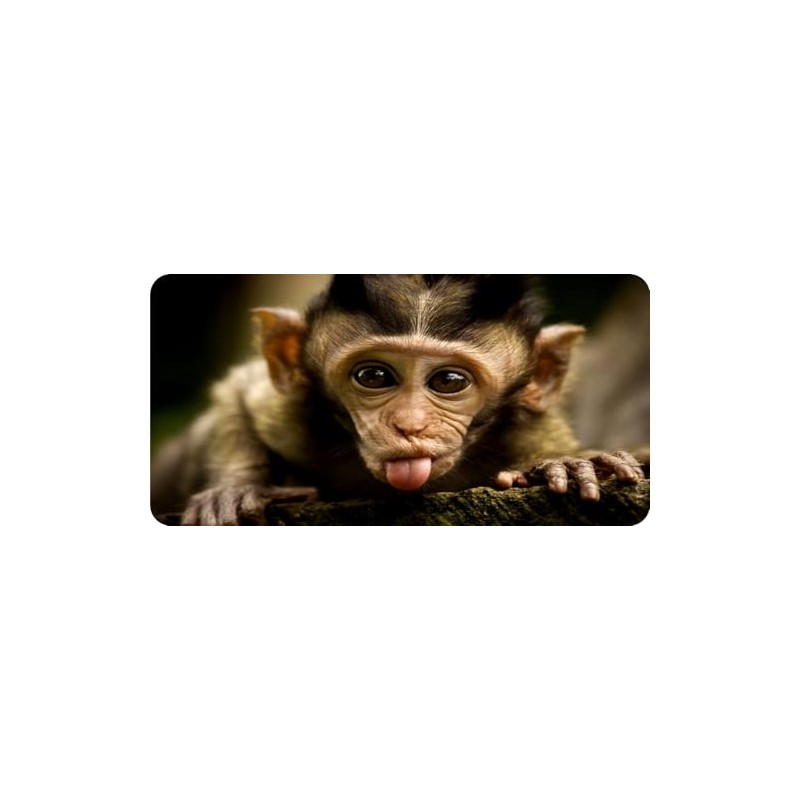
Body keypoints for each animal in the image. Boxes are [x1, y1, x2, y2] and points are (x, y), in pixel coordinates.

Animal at [150, 275, 645, 525]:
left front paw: (562, 464)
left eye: (449, 381)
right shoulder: (291, 415)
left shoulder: (525, 427)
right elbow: (238, 391)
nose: (409, 424)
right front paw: (237, 488)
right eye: (374, 376)